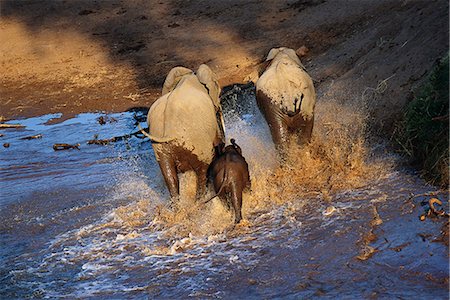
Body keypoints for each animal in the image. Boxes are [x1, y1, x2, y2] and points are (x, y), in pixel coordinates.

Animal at [139, 65, 225, 202]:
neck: (190, 77)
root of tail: (169, 128)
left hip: (160, 146)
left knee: (169, 175)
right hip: (198, 141)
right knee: (203, 170)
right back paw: (200, 201)